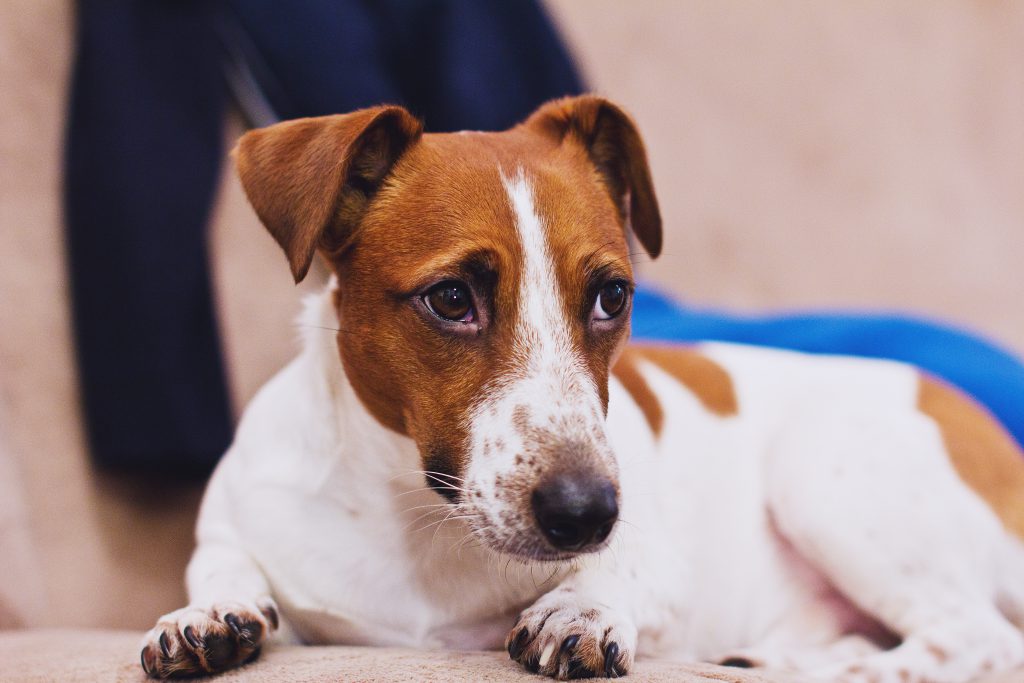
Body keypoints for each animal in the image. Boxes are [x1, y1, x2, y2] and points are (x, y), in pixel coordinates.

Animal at [140, 97, 1024, 683]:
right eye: (451, 298)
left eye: (612, 296)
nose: (588, 513)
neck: (420, 523)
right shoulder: (236, 524)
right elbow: (222, 565)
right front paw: (206, 616)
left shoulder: (661, 564)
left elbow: (617, 573)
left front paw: (583, 604)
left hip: (824, 476)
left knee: (976, 638)